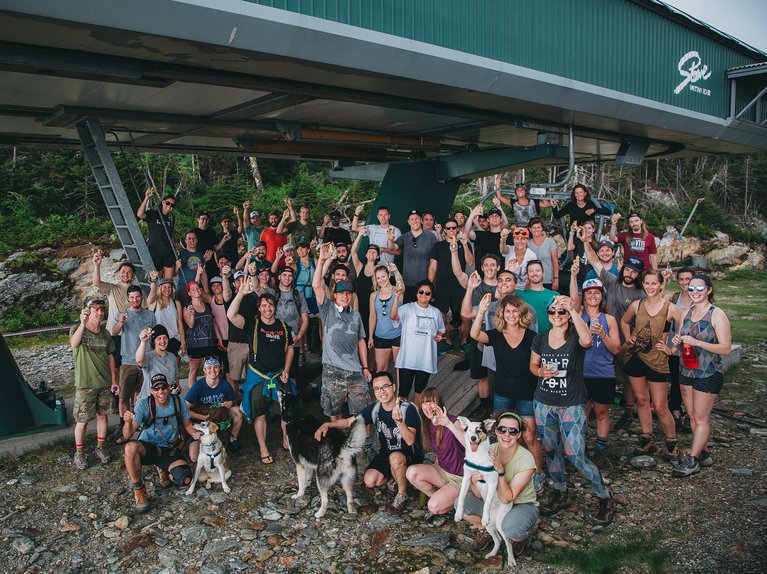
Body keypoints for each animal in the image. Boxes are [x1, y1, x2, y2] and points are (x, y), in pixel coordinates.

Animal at [280, 390, 366, 520]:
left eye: (284, 396)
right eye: (286, 393)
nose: (279, 389)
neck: (298, 417)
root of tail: (340, 446)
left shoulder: (299, 464)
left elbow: (301, 483)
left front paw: (299, 495)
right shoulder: (308, 463)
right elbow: (307, 479)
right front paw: (307, 485)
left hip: (320, 478)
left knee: (325, 501)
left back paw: (319, 514)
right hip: (347, 480)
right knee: (350, 498)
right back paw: (351, 511)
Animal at [452, 418, 520, 572]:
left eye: (479, 430)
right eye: (469, 430)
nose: (472, 438)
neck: (477, 457)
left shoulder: (493, 482)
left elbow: (487, 503)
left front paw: (484, 516)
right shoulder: (467, 478)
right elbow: (462, 497)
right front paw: (458, 514)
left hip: (501, 524)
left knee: (507, 542)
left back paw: (511, 560)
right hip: (490, 527)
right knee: (498, 540)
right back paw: (492, 554)